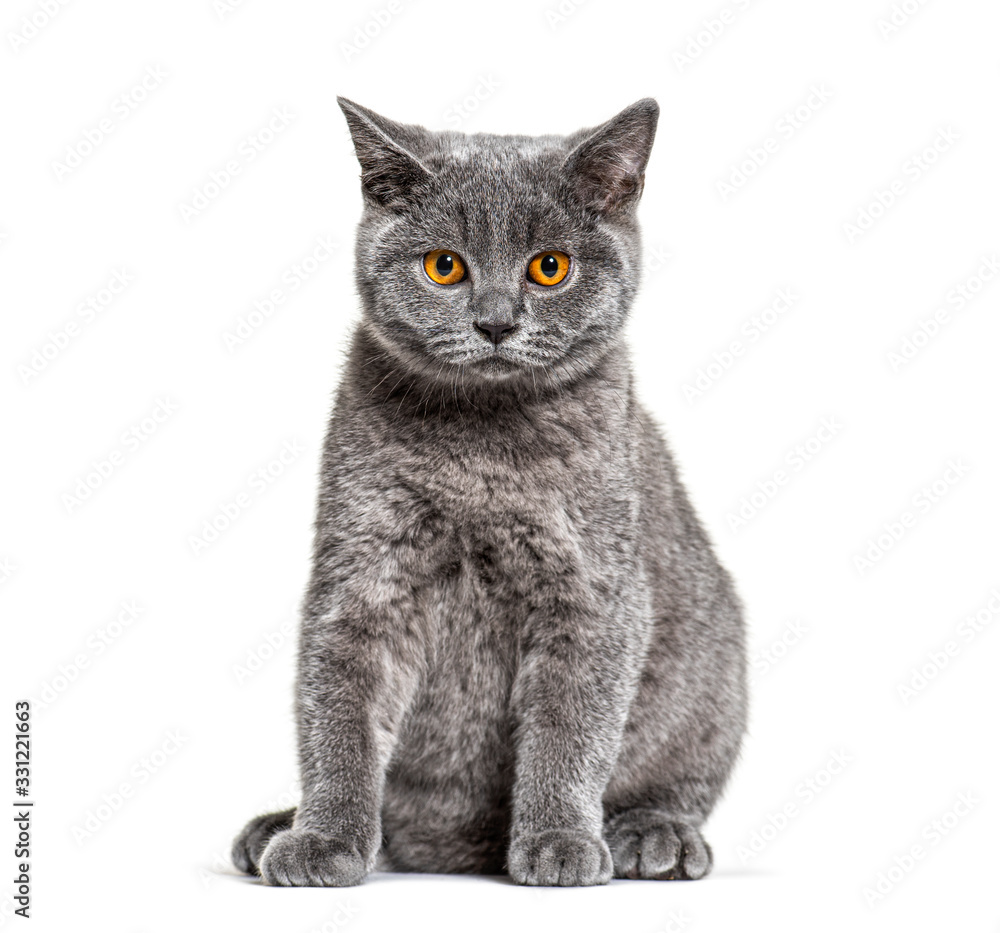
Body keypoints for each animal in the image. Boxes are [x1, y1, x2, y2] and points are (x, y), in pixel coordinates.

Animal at [234, 96, 748, 888]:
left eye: (550, 268)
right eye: (445, 266)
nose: (497, 322)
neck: (483, 452)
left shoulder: (593, 593)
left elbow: (569, 728)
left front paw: (560, 838)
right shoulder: (363, 577)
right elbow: (339, 721)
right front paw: (323, 838)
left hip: (715, 669)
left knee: (678, 778)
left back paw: (651, 832)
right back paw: (278, 827)